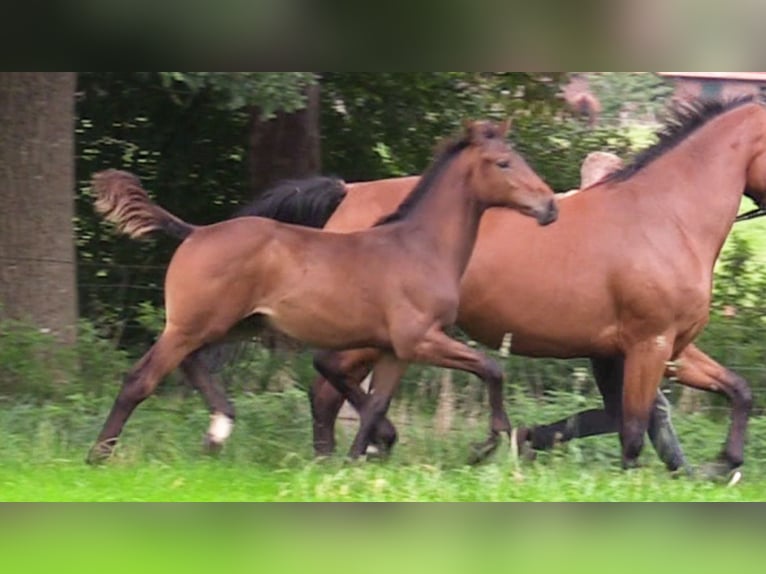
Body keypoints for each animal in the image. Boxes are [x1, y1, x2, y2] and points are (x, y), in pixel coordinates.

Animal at [88, 120, 560, 464]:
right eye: (503, 163)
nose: (550, 207)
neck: (420, 247)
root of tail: (195, 232)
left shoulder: (395, 351)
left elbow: (375, 404)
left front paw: (357, 457)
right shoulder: (420, 340)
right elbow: (491, 369)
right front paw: (486, 446)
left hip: (229, 326)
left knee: (191, 365)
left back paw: (218, 430)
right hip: (193, 325)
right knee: (140, 380)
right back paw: (98, 456)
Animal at [242, 99, 766, 476]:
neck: (664, 217)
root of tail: (347, 192)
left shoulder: (667, 347)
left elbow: (733, 393)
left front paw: (722, 464)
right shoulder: (649, 344)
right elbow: (636, 426)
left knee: (327, 389)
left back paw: (336, 457)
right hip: (374, 333)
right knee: (327, 381)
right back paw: (357, 450)